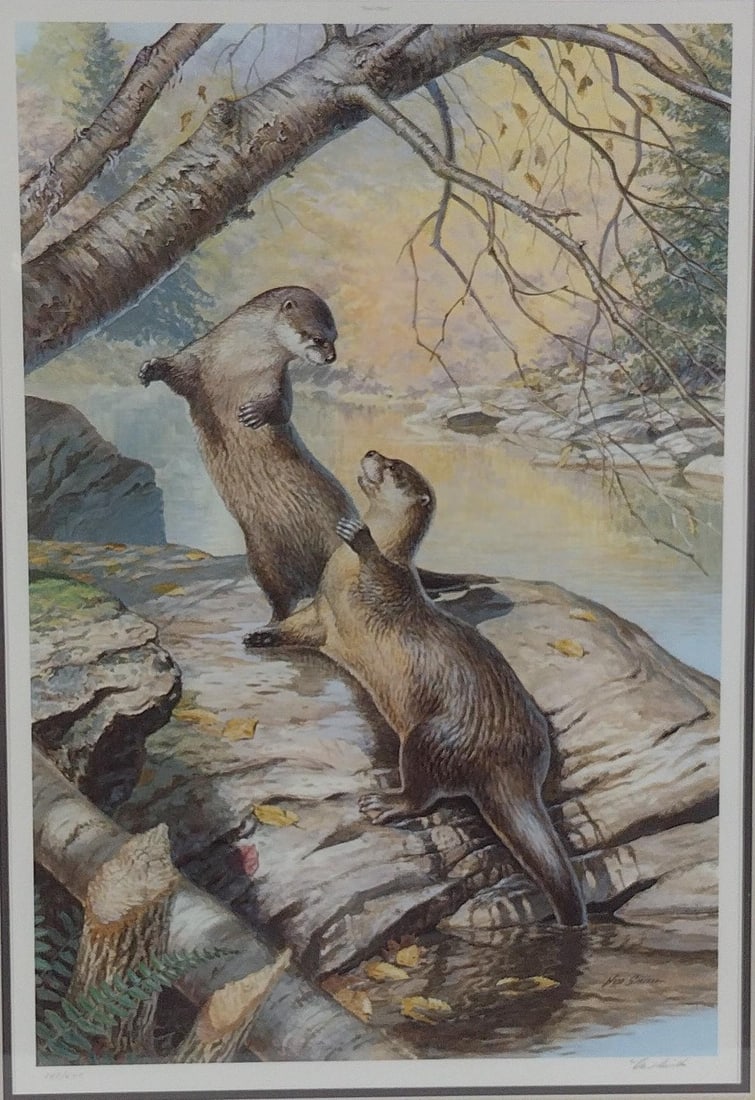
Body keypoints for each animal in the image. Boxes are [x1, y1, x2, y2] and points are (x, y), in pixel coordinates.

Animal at [140, 286, 493, 621]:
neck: (241, 364)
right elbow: (178, 371)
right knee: (280, 595)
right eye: (318, 338)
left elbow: (282, 408)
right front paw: (150, 368)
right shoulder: (201, 357)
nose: (332, 358)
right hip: (262, 557)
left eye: (334, 338)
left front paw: (256, 413)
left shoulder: (278, 381)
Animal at [243, 450, 586, 928]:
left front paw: (362, 537)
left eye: (395, 468)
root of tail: (509, 756)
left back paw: (384, 804)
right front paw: (262, 634)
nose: (372, 453)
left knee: (423, 795)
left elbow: (381, 568)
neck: (342, 574)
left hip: (431, 736)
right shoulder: (321, 613)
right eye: (386, 458)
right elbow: (295, 625)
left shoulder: (390, 585)